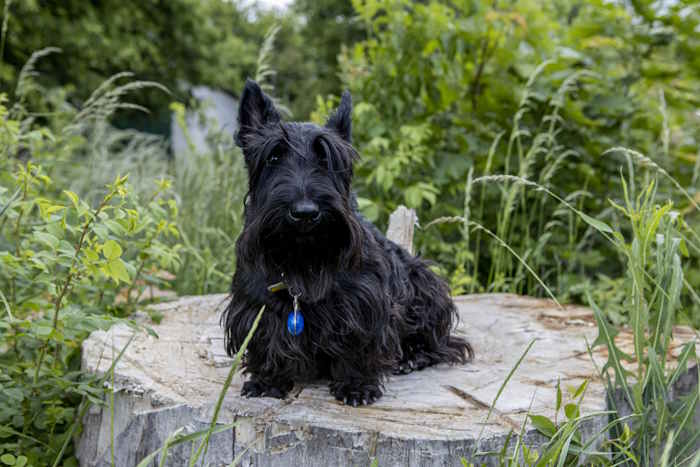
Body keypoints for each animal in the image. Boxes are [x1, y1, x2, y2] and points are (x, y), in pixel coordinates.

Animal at [223, 80, 476, 406]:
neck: (302, 259)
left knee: (439, 343)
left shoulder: (365, 306)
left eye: (327, 159)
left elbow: (359, 347)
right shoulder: (256, 305)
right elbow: (266, 342)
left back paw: (410, 358)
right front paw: (268, 380)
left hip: (426, 287)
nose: (305, 213)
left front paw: (357, 386)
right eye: (273, 157)